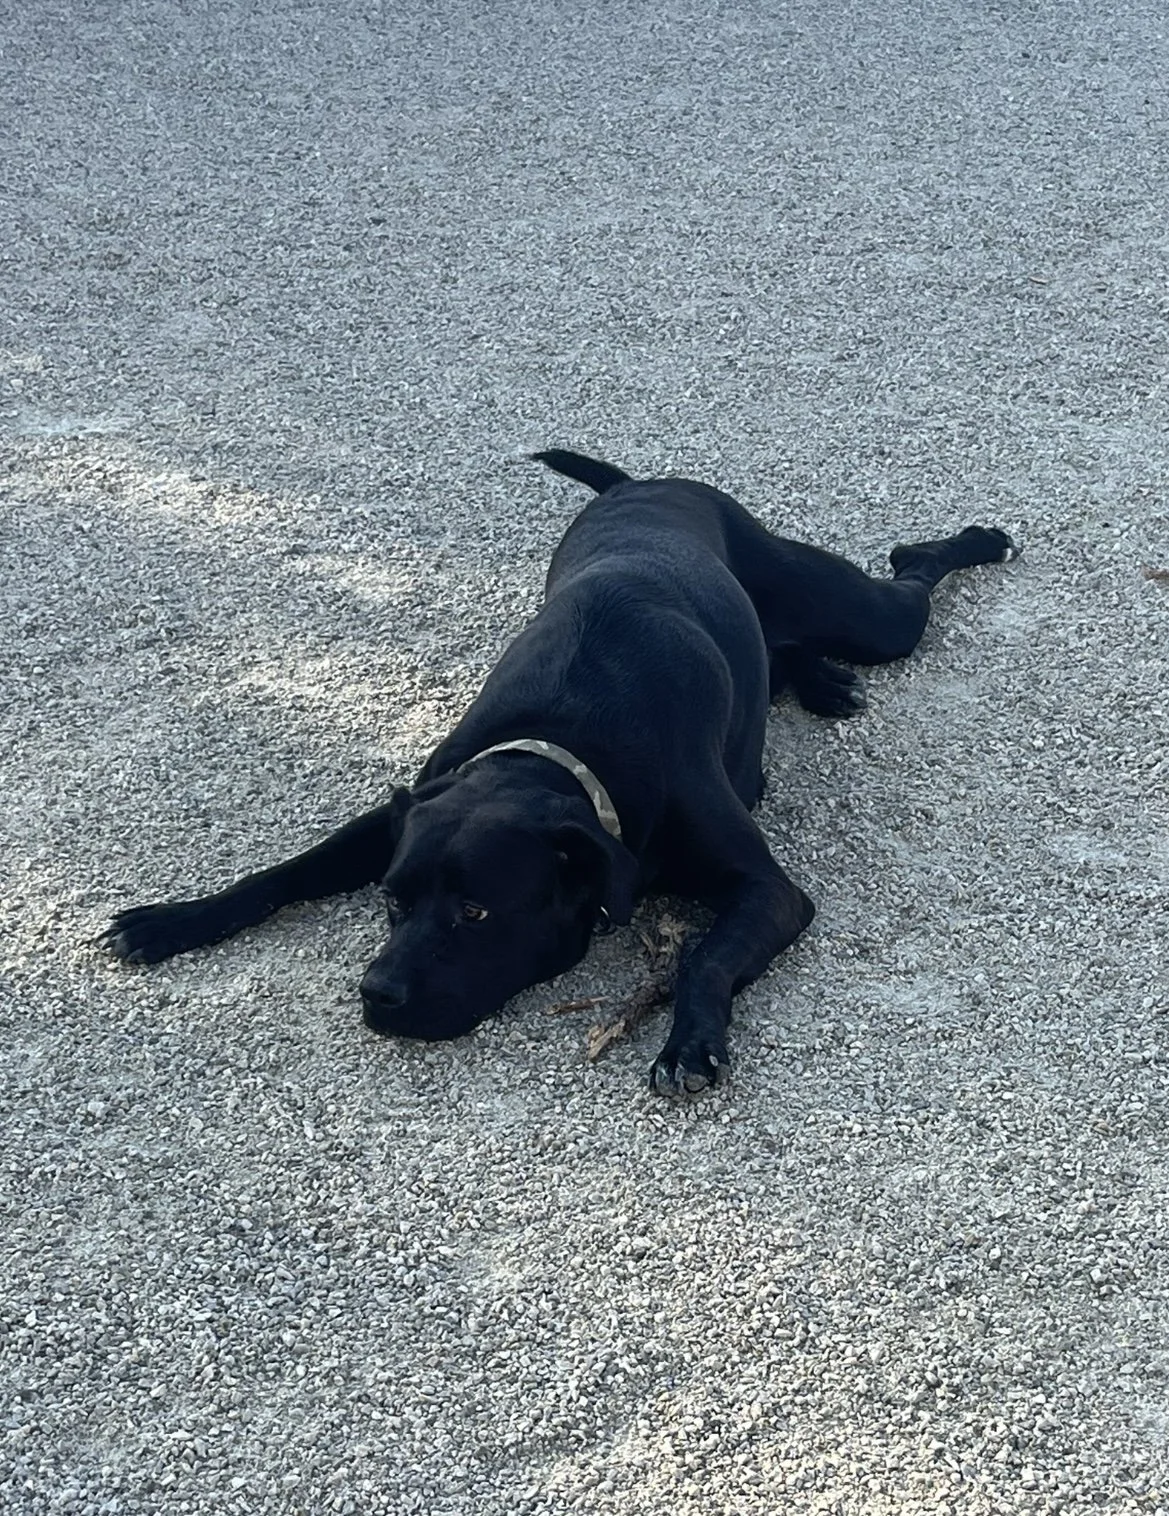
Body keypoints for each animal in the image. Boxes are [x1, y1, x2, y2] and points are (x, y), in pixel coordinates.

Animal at [102, 450, 1017, 1092]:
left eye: (476, 912)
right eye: (392, 902)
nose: (377, 994)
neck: (561, 748)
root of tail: (644, 482)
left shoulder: (769, 890)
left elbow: (705, 955)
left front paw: (690, 1041)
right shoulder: (404, 806)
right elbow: (288, 870)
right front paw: (174, 919)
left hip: (865, 615)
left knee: (909, 570)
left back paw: (972, 543)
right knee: (784, 644)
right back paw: (819, 680)